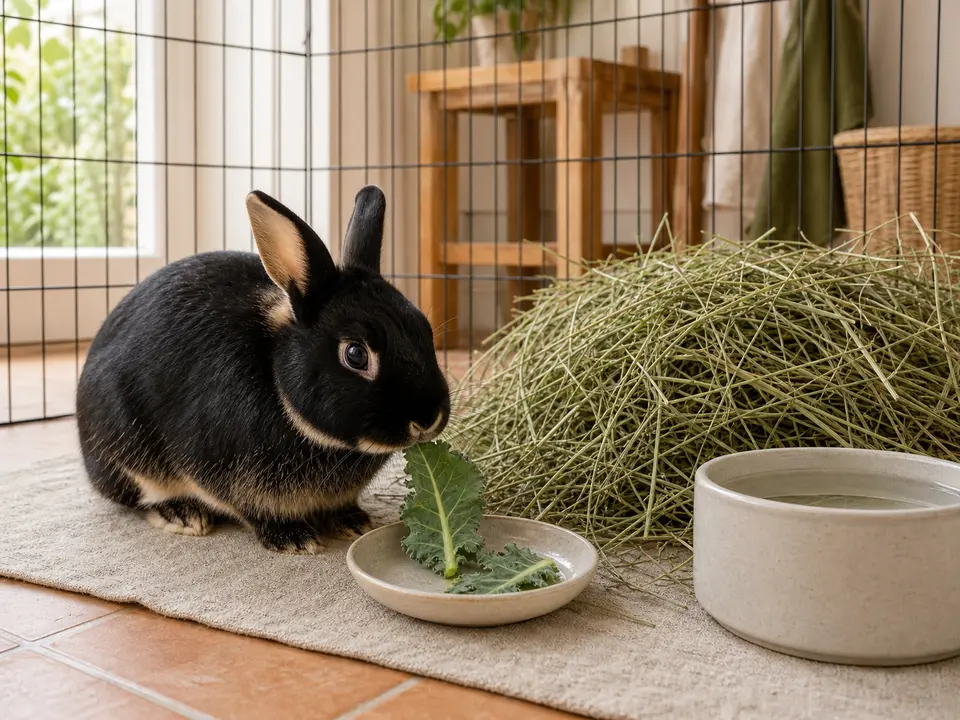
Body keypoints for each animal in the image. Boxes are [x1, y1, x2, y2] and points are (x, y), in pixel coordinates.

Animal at [75, 185, 450, 554]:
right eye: (356, 354)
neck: (276, 379)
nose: (427, 419)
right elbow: (253, 510)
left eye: (425, 330)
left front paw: (353, 521)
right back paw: (183, 513)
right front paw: (293, 538)